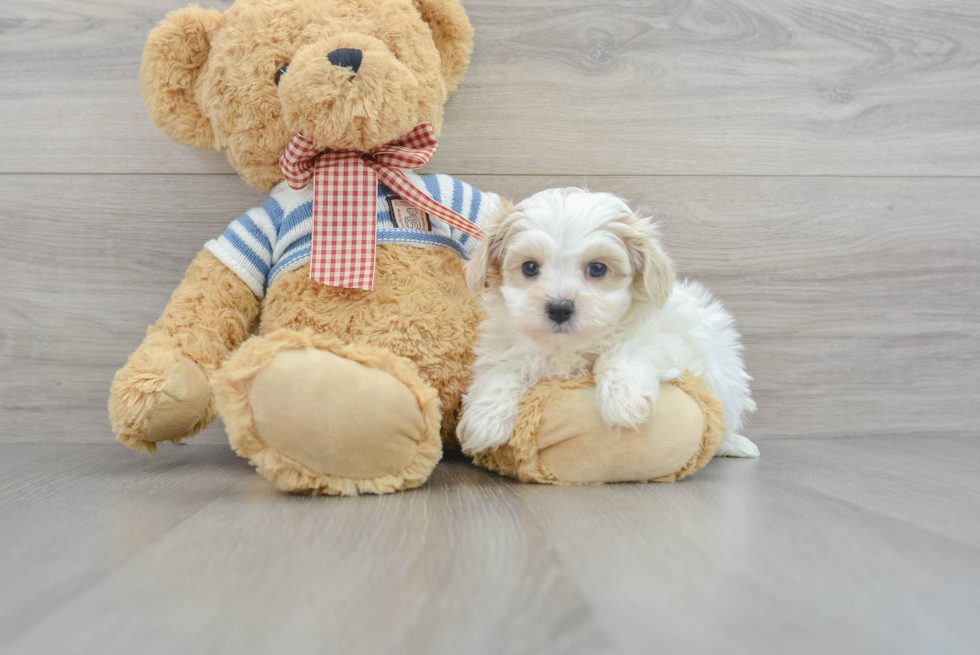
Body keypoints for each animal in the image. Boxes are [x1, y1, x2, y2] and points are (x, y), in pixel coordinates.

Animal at [456, 187, 760, 458]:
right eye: (530, 267)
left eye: (597, 268)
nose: (559, 308)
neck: (566, 347)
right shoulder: (505, 344)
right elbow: (502, 369)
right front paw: (484, 419)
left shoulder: (666, 337)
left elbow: (628, 347)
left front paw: (625, 399)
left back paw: (734, 444)